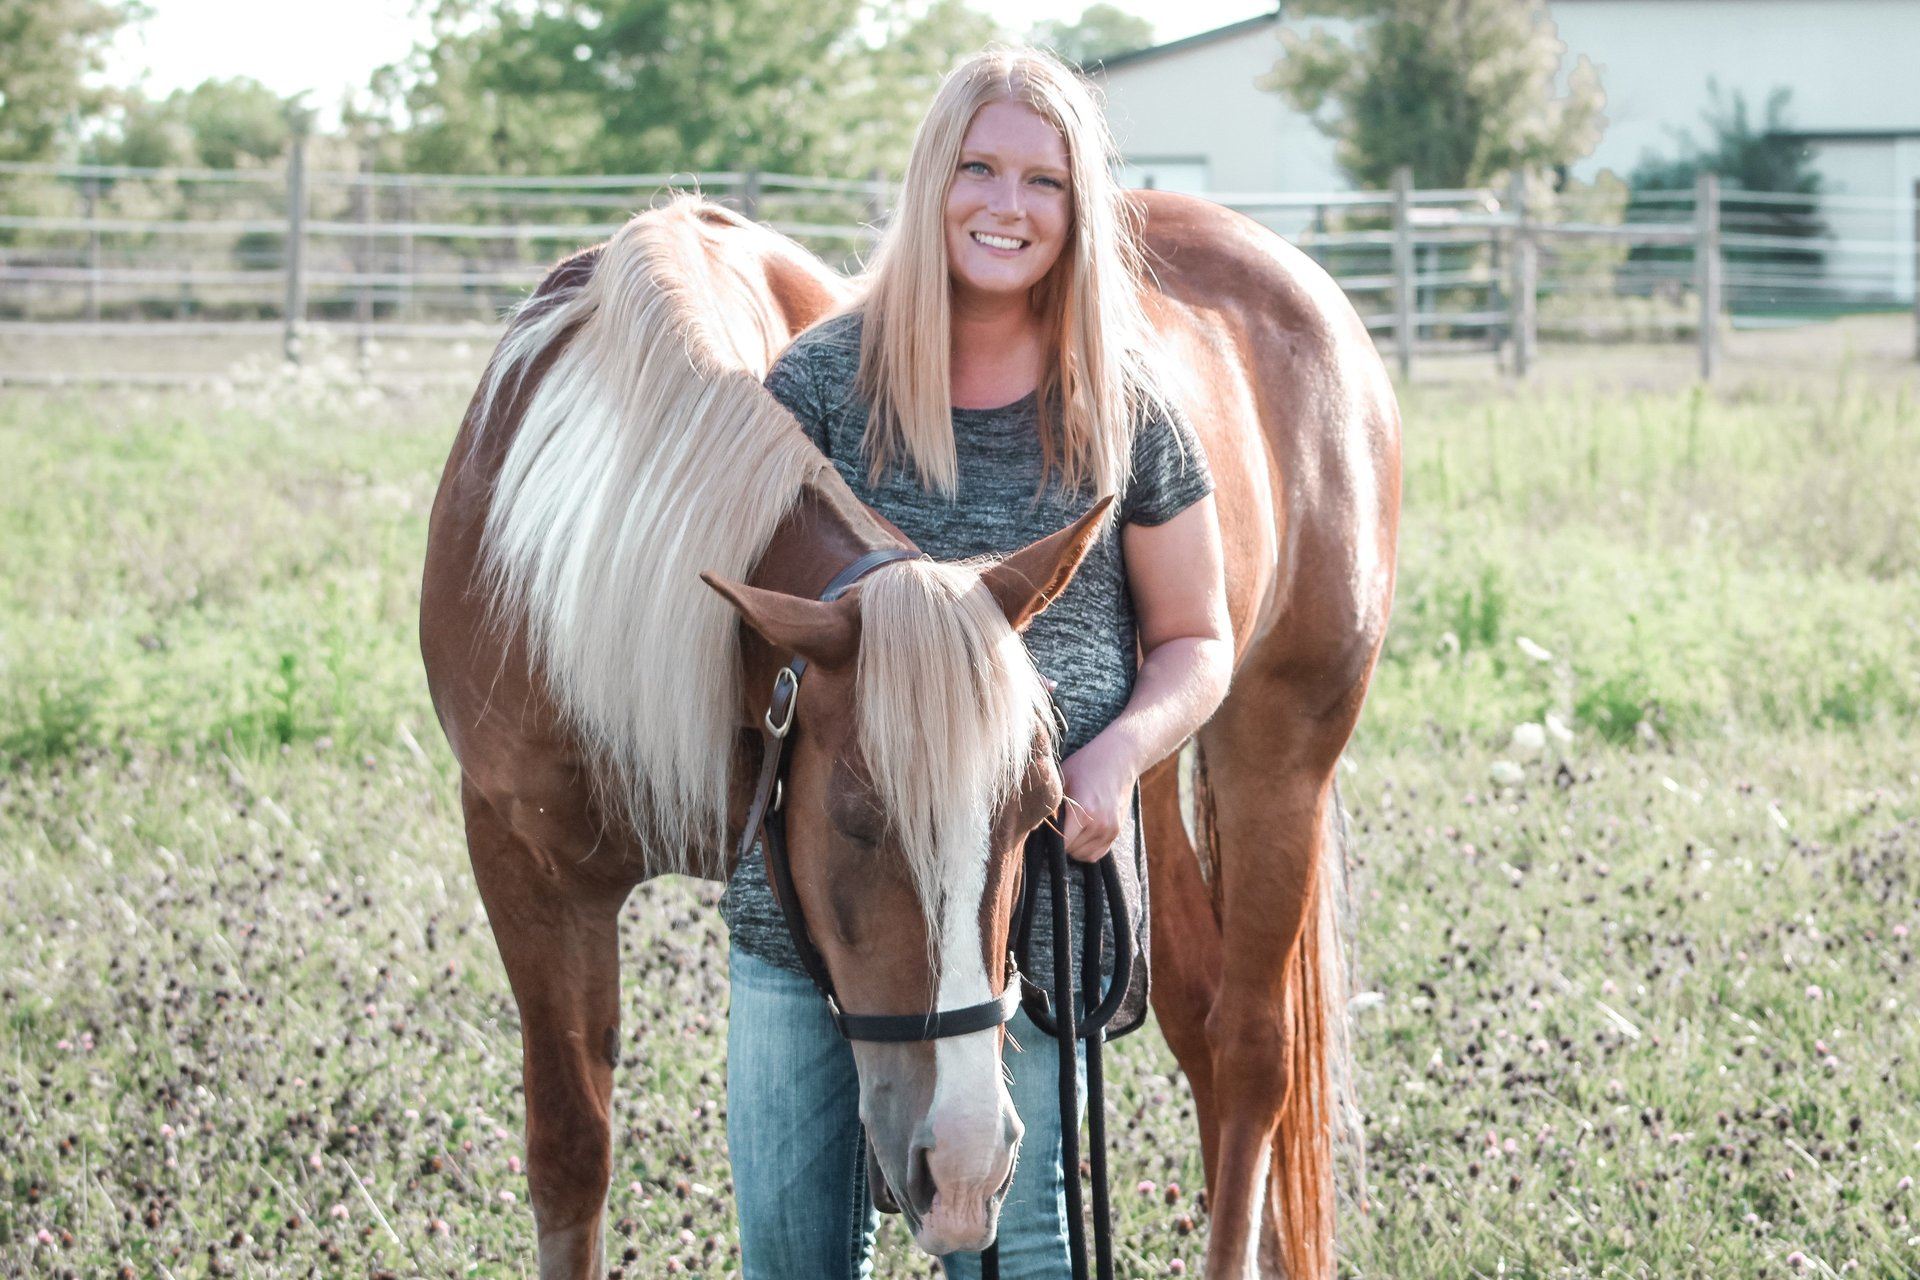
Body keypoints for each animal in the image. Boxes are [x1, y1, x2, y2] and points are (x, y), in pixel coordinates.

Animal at [424, 189, 1397, 1280]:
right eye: (853, 822)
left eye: (1029, 813)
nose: (968, 1165)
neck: (602, 557)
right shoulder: (525, 864)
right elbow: (569, 1155)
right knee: (1202, 1019)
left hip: (1275, 758)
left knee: (1254, 1050)